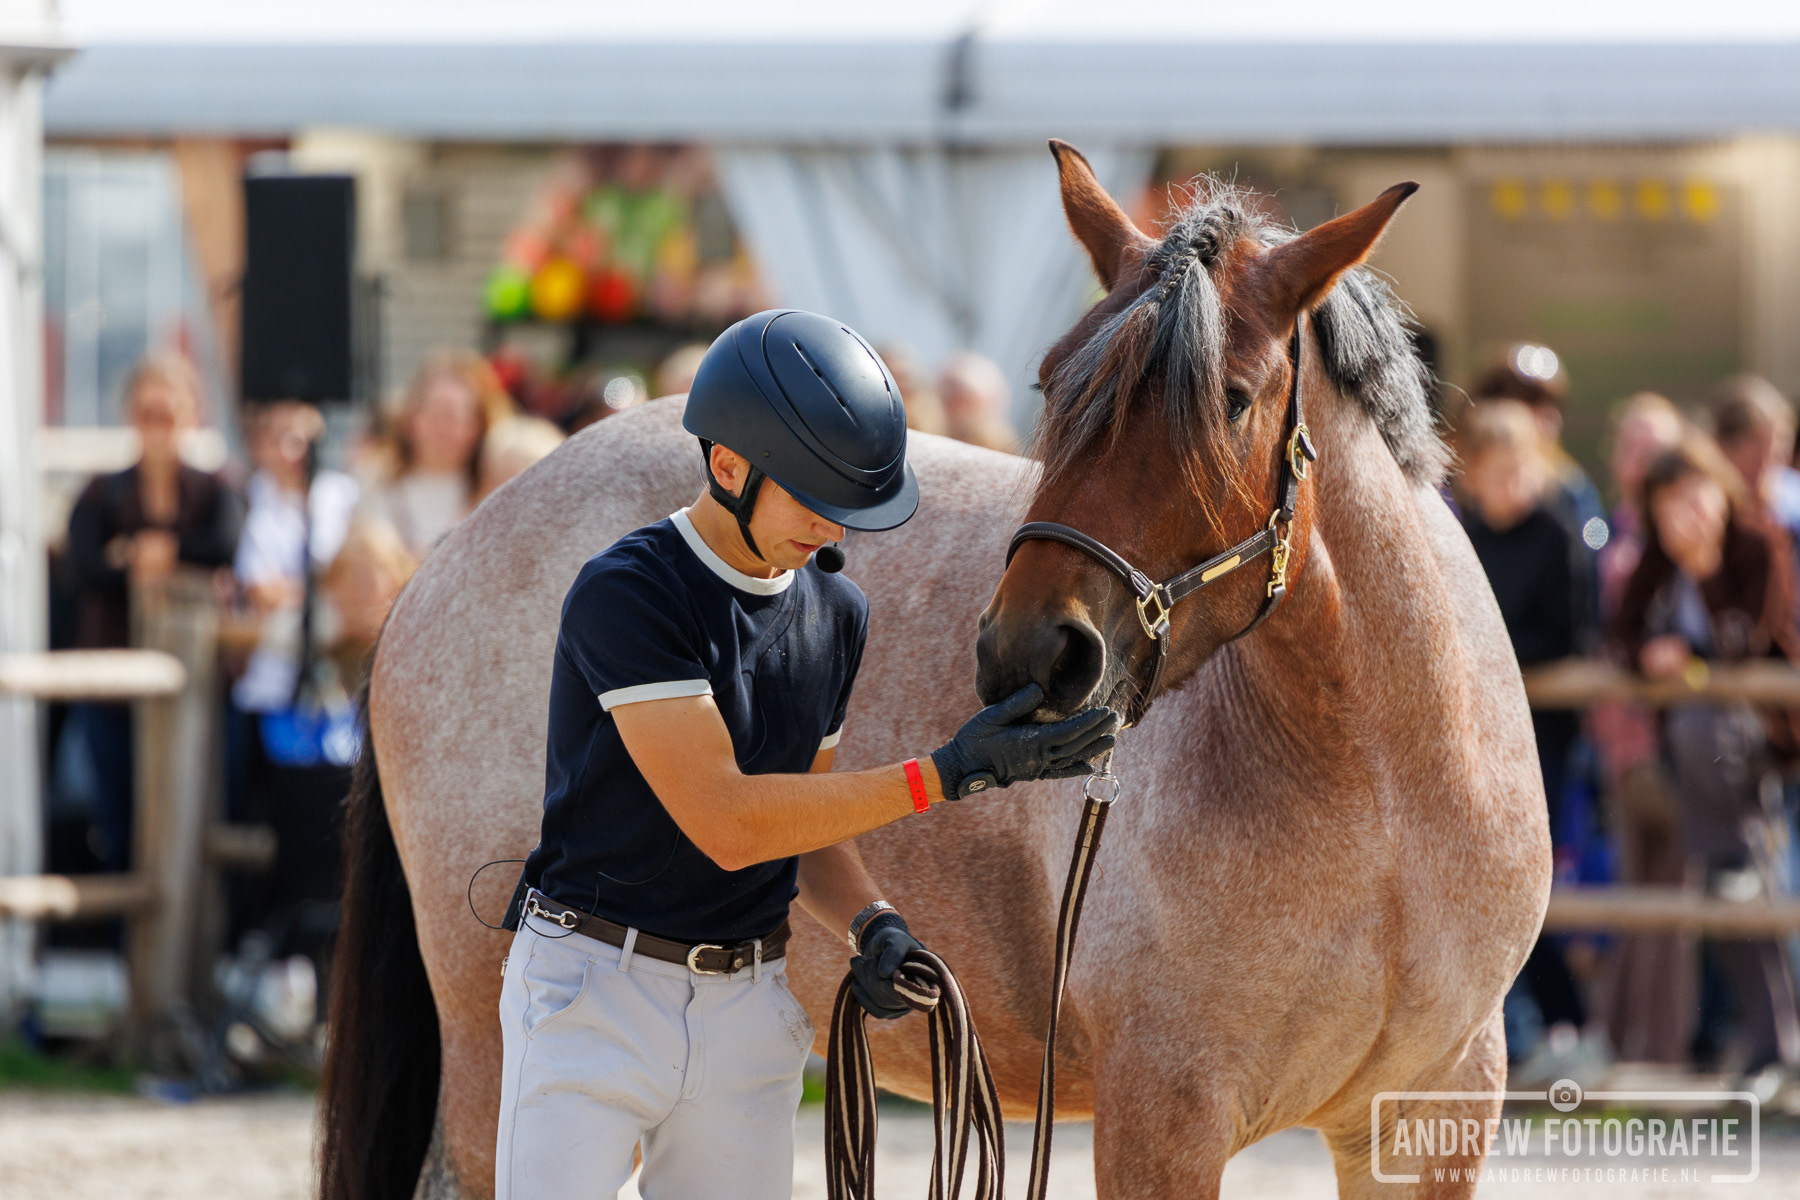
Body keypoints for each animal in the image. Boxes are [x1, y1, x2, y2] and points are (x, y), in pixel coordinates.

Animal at [320, 142, 1549, 1200]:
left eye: (1235, 399)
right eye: (1056, 385)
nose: (1035, 654)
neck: (1381, 794)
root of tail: (450, 553)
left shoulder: (1432, 1118)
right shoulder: (1164, 1121)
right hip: (490, 1056)